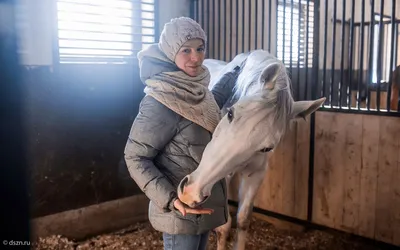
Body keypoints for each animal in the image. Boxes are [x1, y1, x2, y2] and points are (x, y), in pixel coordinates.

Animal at [177, 50, 324, 250]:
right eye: (230, 113)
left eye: (267, 147)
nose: (191, 192)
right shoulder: (221, 176)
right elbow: (223, 226)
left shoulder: (256, 174)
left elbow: (243, 219)